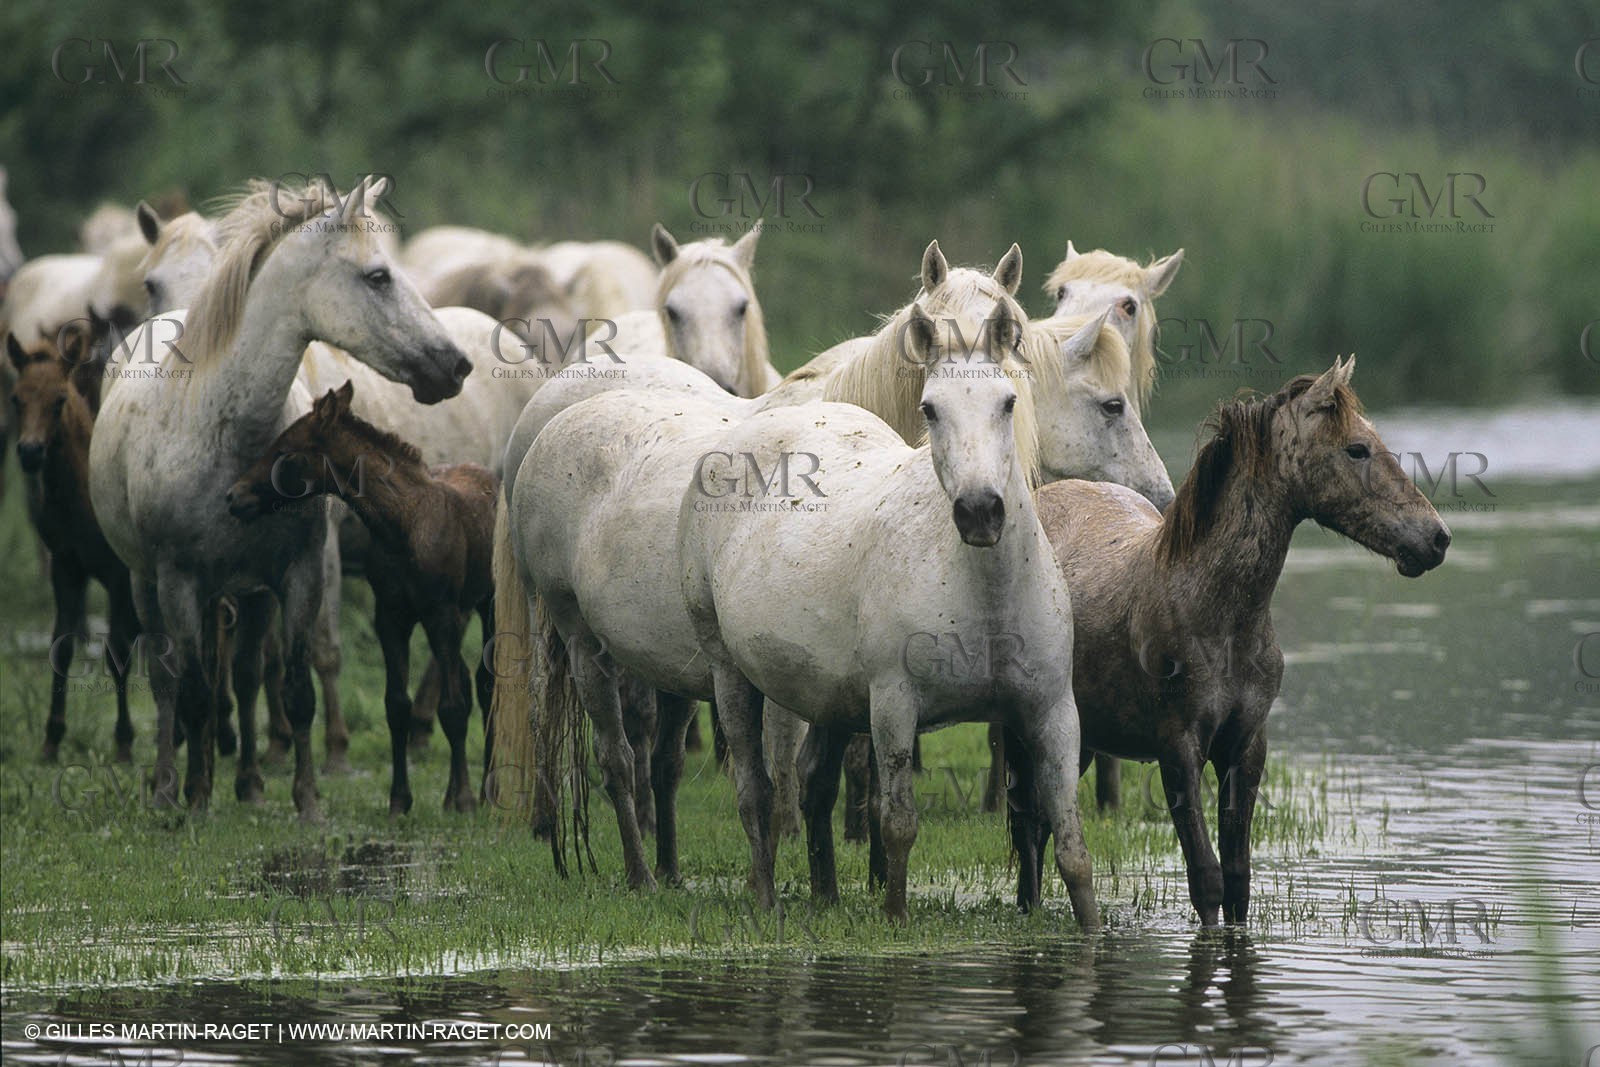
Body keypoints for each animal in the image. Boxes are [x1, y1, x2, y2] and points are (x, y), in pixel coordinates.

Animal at [7, 328, 140, 762]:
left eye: (59, 399)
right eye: (16, 398)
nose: (30, 452)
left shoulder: (118, 577)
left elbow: (118, 652)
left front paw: (124, 741)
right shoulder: (66, 569)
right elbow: (60, 647)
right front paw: (51, 739)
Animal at [88, 175, 471, 816]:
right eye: (377, 276)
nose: (456, 365)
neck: (224, 430)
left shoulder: (299, 573)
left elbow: (294, 689)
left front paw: (307, 800)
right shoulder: (178, 581)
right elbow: (192, 690)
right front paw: (193, 798)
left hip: (251, 592)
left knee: (243, 676)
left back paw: (246, 780)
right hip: (147, 583)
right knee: (169, 681)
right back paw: (168, 787)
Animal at [228, 381, 498, 815]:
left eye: (288, 450)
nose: (234, 496)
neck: (404, 525)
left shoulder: (441, 614)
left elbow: (454, 707)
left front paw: (463, 799)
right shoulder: (390, 616)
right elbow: (397, 705)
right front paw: (400, 800)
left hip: (486, 603)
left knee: (488, 686)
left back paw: (490, 790)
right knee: (471, 681)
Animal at [677, 308, 1098, 927]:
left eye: (1007, 402)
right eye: (930, 408)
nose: (980, 511)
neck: (986, 593)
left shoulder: (1053, 712)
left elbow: (1072, 845)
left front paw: (1090, 929)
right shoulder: (895, 705)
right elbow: (897, 822)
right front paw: (895, 915)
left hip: (826, 696)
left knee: (813, 784)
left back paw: (825, 894)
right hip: (728, 673)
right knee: (756, 792)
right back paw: (767, 900)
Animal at [1025, 357, 1449, 924]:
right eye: (1356, 448)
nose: (1436, 538)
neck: (1217, 616)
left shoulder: (1245, 747)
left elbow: (1238, 879)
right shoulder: (1178, 749)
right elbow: (1206, 878)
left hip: (1085, 740)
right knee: (1028, 825)